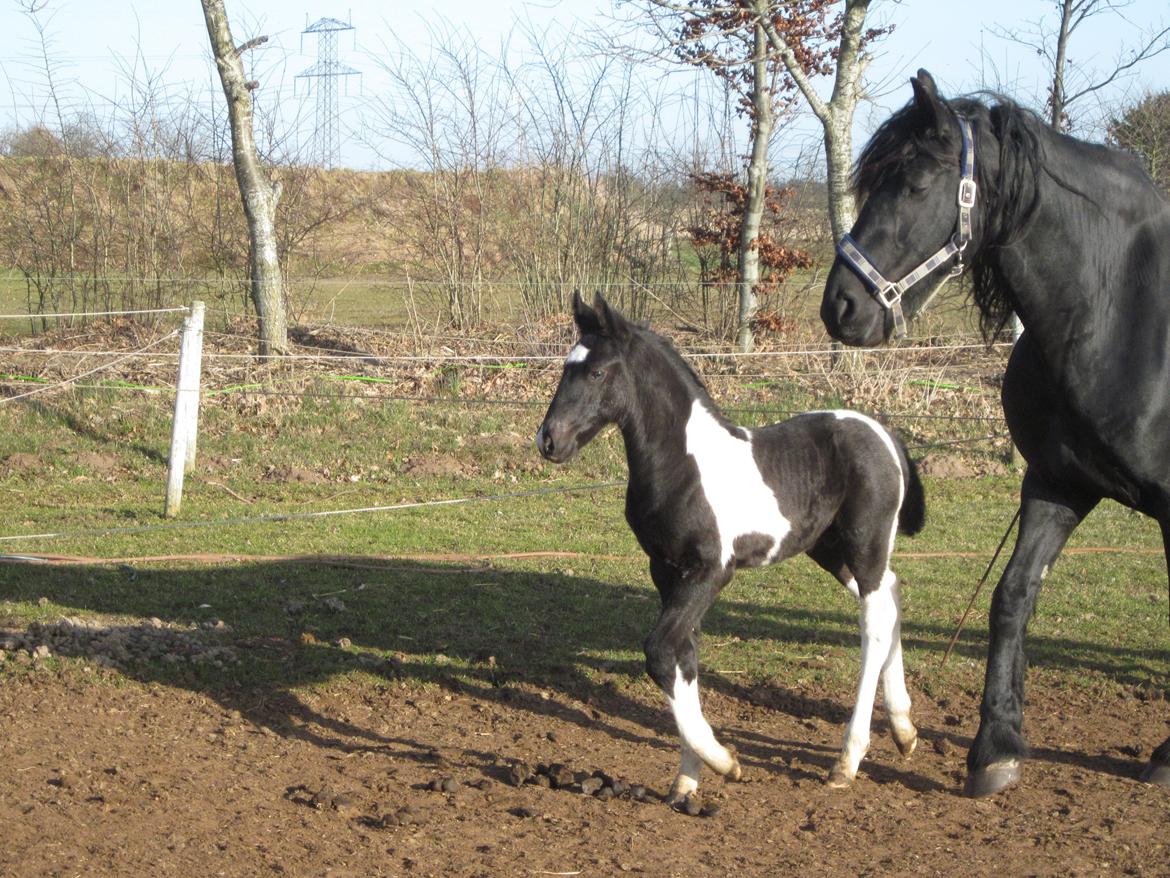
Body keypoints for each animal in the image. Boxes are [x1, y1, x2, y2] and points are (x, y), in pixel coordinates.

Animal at [535, 293, 926, 805]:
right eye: (568, 367)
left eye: (597, 372)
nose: (549, 440)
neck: (684, 464)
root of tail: (886, 436)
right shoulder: (666, 572)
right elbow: (682, 658)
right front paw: (686, 783)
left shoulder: (712, 570)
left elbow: (659, 651)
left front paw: (725, 762)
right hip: (831, 550)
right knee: (892, 595)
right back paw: (904, 731)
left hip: (865, 543)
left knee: (875, 622)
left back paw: (847, 760)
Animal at [823, 70, 1170, 796]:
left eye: (916, 182)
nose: (840, 306)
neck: (1122, 312)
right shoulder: (1056, 485)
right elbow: (1012, 597)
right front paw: (995, 748)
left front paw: (1168, 756)